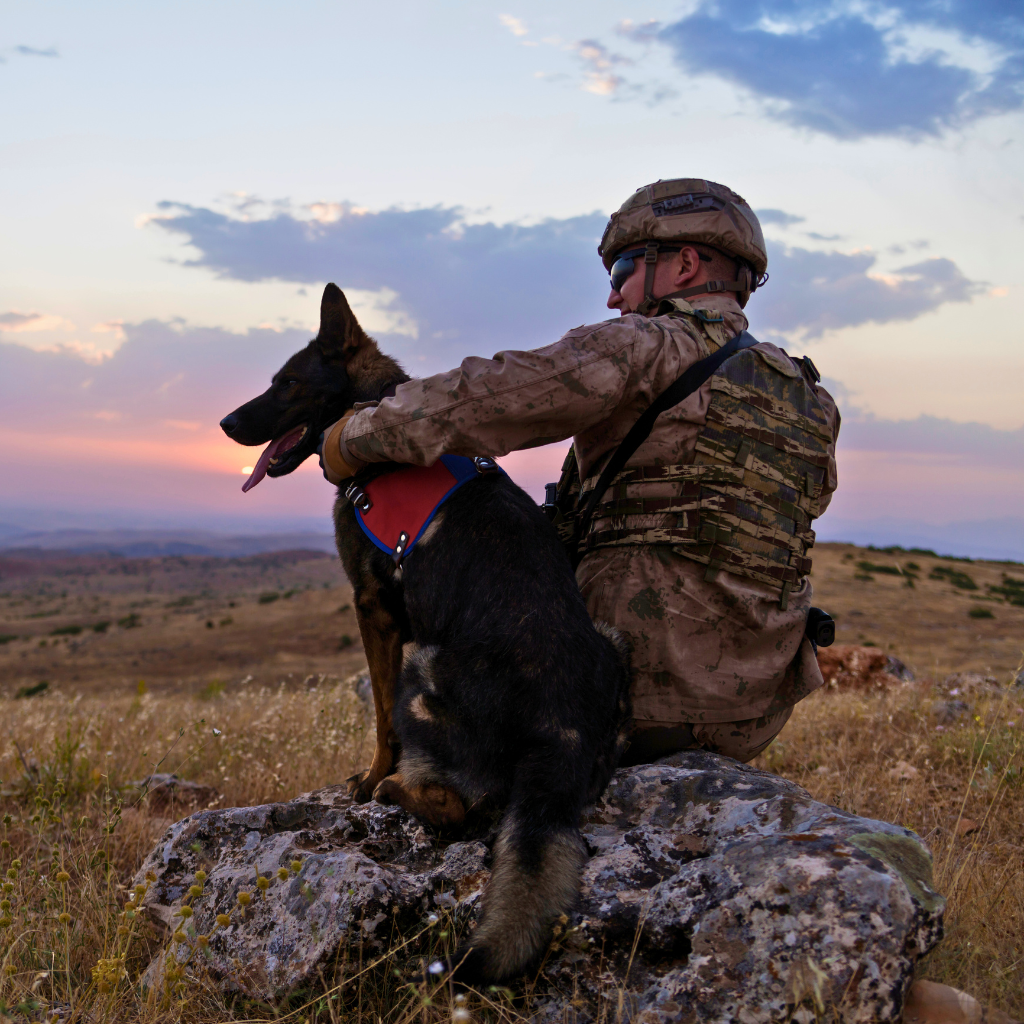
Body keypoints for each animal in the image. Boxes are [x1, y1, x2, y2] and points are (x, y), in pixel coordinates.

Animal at [220, 282, 626, 983]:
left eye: (290, 383)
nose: (225, 424)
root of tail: (563, 727)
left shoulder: (375, 611)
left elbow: (381, 718)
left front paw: (367, 780)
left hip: (424, 666)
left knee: (457, 808)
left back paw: (394, 789)